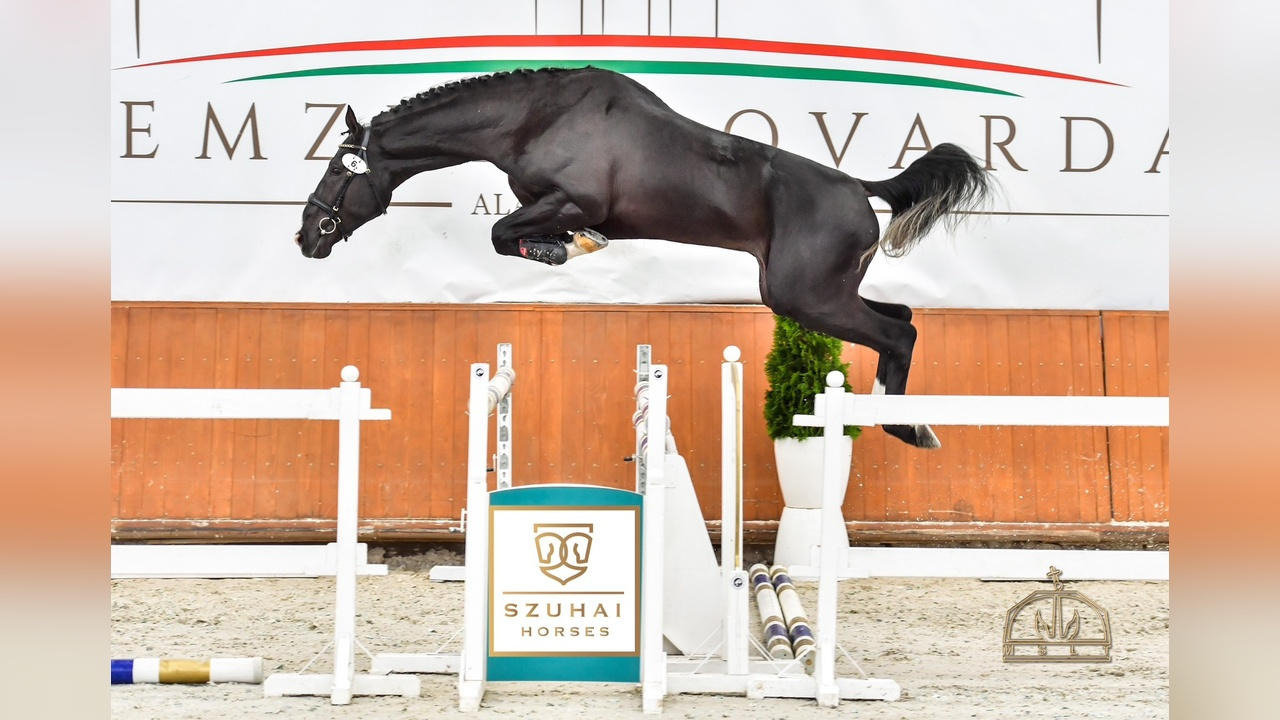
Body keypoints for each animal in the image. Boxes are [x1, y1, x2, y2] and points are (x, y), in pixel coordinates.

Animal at [295, 67, 990, 449]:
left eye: (336, 168)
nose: (307, 236)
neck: (531, 119)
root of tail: (861, 188)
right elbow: (506, 231)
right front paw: (561, 247)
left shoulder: (572, 199)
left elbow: (503, 231)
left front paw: (566, 248)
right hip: (818, 293)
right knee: (901, 316)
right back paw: (900, 419)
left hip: (807, 298)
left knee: (899, 331)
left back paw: (905, 427)